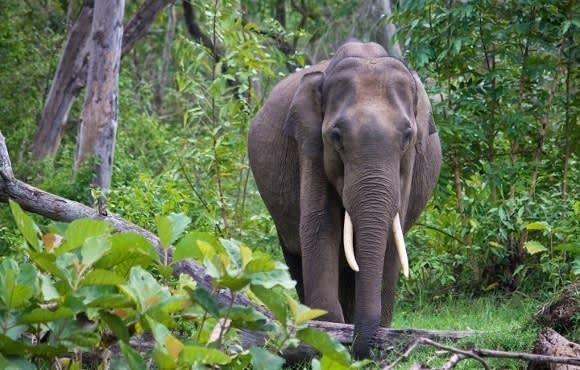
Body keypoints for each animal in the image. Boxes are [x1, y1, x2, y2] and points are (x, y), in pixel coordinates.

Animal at [247, 41, 442, 358]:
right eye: (336, 136)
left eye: (407, 136)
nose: (358, 349)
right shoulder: (310, 145)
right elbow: (319, 227)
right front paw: (330, 340)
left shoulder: (409, 164)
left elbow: (392, 237)